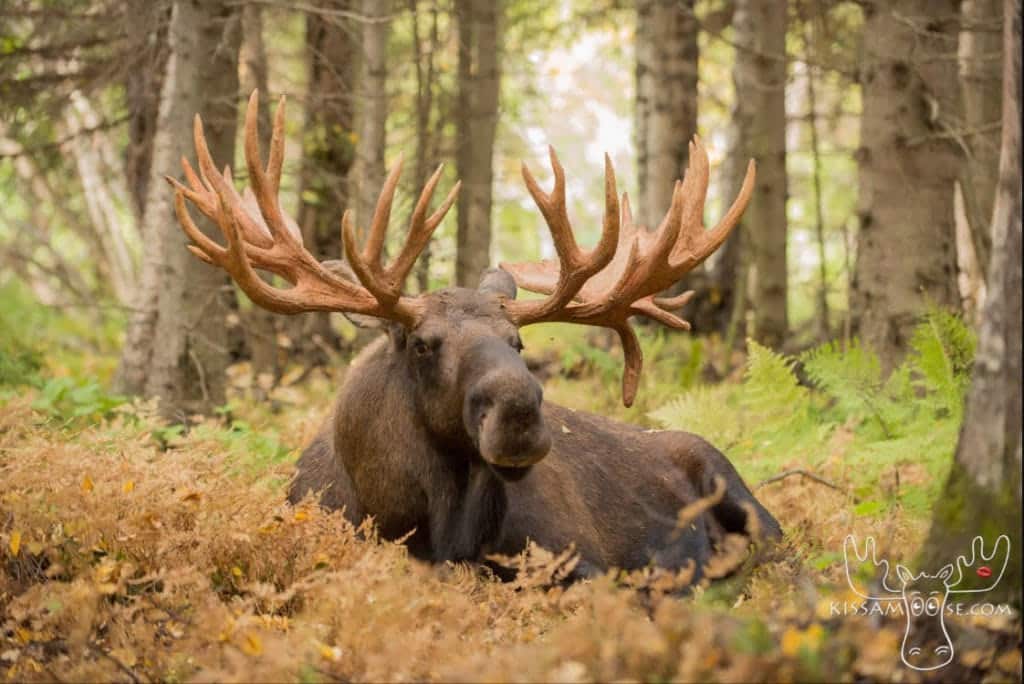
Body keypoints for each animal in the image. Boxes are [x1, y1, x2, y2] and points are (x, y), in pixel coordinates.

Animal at [167, 90, 782, 584]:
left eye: (518, 342)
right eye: (421, 343)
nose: (519, 413)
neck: (424, 526)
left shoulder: (580, 557)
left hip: (749, 503)